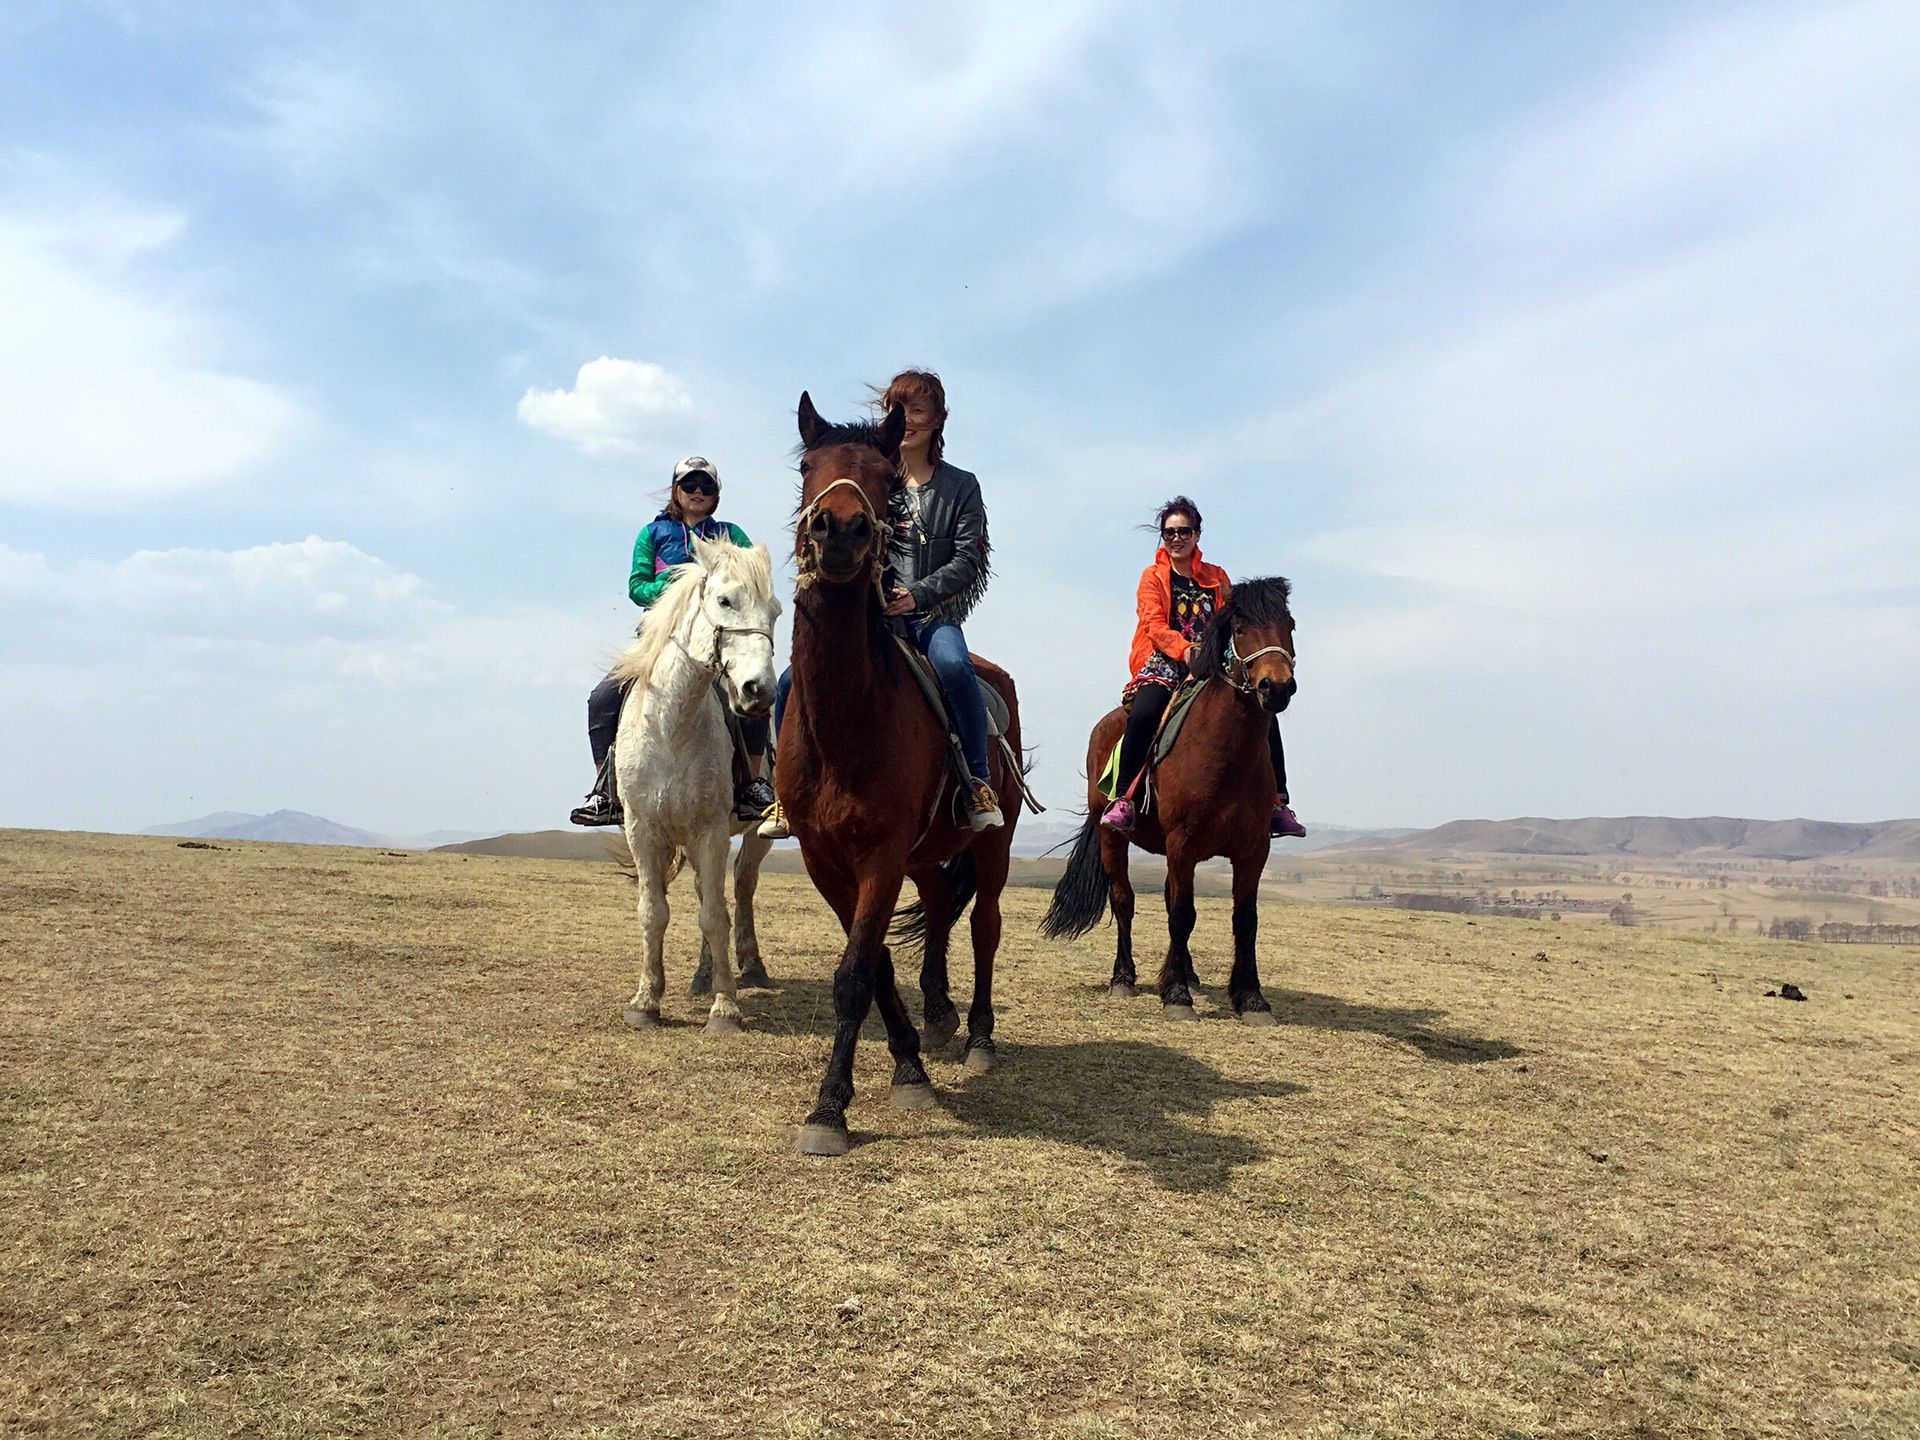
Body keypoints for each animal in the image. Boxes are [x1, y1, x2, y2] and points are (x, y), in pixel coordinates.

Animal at [602, 537, 775, 1029]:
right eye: (724, 600)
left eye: (775, 611)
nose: (759, 691)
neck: (671, 727)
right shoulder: (641, 830)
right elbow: (653, 912)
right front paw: (646, 1001)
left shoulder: (711, 830)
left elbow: (715, 915)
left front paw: (726, 1007)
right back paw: (701, 976)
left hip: (753, 834)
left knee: (740, 886)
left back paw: (750, 968)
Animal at [775, 395, 1029, 1159]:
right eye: (808, 466)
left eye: (887, 477)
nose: (840, 528)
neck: (848, 718)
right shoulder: (829, 860)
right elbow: (876, 960)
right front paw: (909, 1064)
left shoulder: (881, 854)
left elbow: (856, 972)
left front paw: (829, 1110)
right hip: (925, 852)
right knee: (943, 905)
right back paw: (940, 1013)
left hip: (991, 846)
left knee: (984, 926)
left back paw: (978, 1038)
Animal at [1044, 579, 1297, 1029]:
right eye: (1242, 628)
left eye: (1290, 625)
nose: (1277, 686)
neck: (1225, 755)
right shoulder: (1182, 844)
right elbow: (1182, 914)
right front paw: (1176, 995)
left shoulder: (1253, 850)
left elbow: (1244, 919)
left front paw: (1251, 998)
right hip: (1114, 838)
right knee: (1124, 901)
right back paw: (1124, 978)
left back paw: (1188, 974)